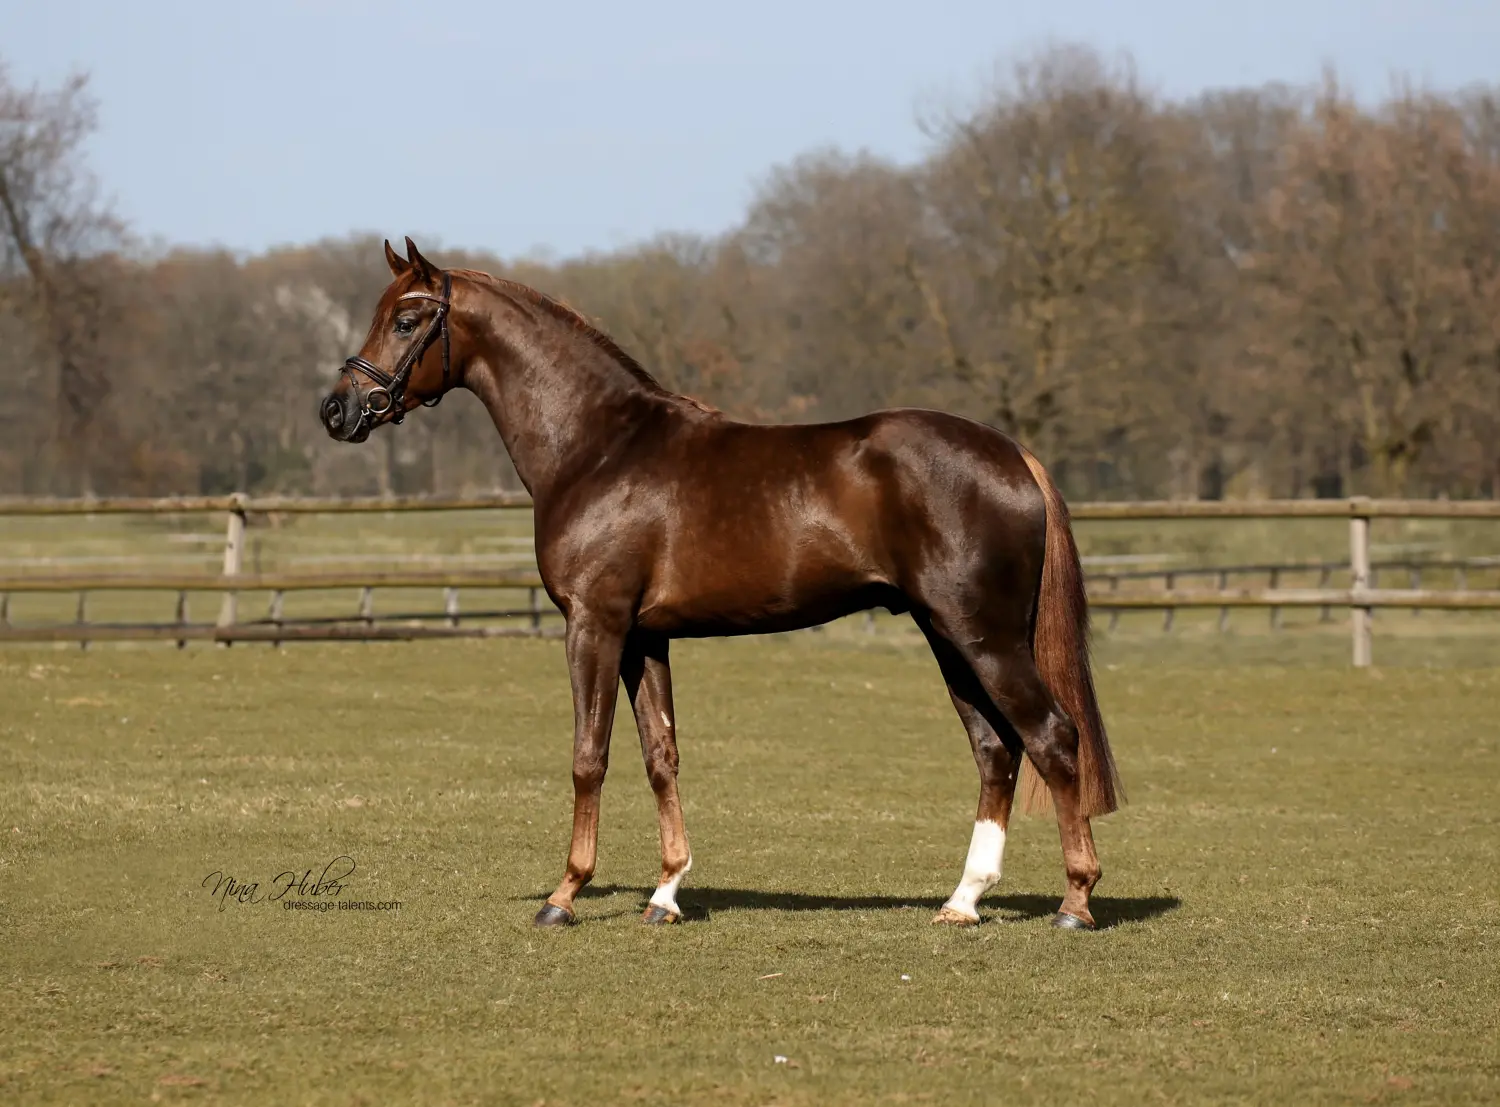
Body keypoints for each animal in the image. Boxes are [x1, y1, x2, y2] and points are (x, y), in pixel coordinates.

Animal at [320, 237, 1123, 930]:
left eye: (406, 319)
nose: (338, 410)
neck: (599, 446)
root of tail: (1014, 455)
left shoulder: (594, 624)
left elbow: (589, 757)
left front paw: (564, 894)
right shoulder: (645, 638)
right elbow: (661, 756)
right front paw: (666, 892)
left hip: (983, 636)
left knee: (1053, 737)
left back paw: (1075, 901)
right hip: (948, 636)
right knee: (996, 750)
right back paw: (963, 900)